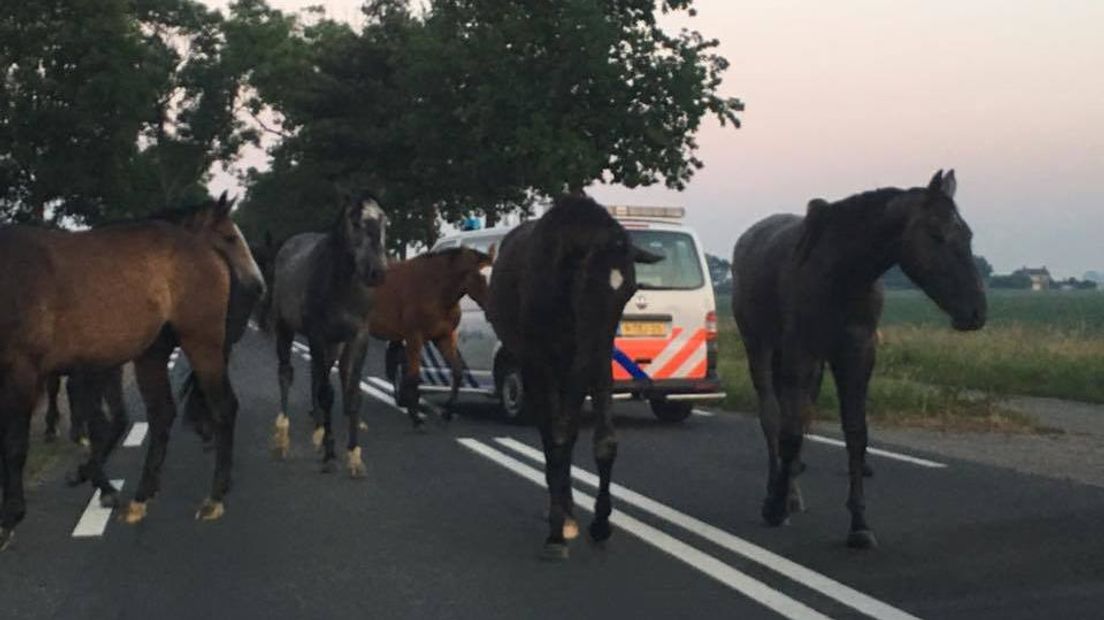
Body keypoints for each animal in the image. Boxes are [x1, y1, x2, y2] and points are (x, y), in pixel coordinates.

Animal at [0, 194, 264, 549]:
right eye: (230, 237)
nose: (258, 285)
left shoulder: (31, 371)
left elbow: (17, 445)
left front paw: (11, 517)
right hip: (151, 354)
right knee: (163, 412)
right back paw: (141, 496)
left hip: (202, 342)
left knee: (223, 407)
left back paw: (214, 497)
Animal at [267, 193, 388, 472]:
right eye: (355, 222)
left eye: (384, 221)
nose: (377, 272)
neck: (341, 287)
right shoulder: (317, 334)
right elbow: (326, 393)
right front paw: (331, 453)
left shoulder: (358, 337)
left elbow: (352, 393)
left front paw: (354, 455)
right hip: (285, 328)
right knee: (286, 374)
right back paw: (283, 436)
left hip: (334, 344)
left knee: (317, 374)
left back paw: (319, 428)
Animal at [370, 246, 492, 423]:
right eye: (481, 277)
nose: (493, 309)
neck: (434, 288)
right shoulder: (414, 337)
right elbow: (413, 376)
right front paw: (415, 416)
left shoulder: (444, 337)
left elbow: (457, 371)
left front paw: (448, 410)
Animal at [733, 168, 984, 544]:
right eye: (935, 234)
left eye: (967, 234)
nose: (976, 312)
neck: (842, 273)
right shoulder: (801, 353)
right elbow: (789, 433)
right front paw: (773, 508)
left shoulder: (857, 355)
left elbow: (855, 433)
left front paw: (860, 524)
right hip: (760, 346)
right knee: (772, 417)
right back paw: (777, 493)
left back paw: (792, 494)